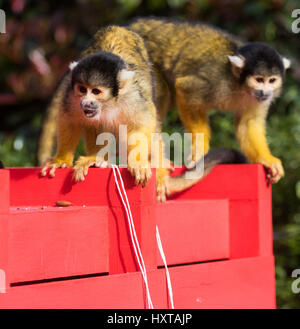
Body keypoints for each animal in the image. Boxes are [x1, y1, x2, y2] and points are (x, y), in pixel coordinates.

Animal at [40, 25, 169, 200]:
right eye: (82, 89)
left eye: (96, 91)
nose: (86, 102)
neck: (108, 104)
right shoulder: (71, 95)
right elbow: (69, 120)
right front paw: (62, 159)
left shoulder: (133, 97)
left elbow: (142, 124)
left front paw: (137, 162)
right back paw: (96, 159)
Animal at [129, 18, 290, 183]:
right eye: (259, 80)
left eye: (272, 80)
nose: (266, 92)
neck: (239, 84)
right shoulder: (217, 80)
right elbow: (186, 91)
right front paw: (200, 149)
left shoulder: (256, 98)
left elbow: (247, 124)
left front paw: (267, 159)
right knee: (159, 96)